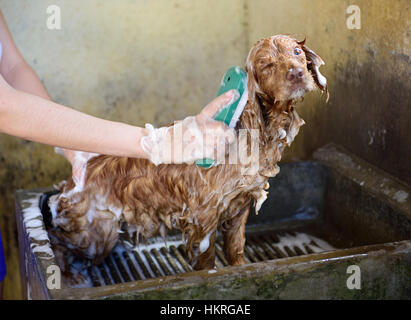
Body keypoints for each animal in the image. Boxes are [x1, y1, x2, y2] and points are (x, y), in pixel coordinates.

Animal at [48, 35, 328, 280]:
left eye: (297, 52)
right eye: (266, 65)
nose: (296, 74)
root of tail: (71, 182)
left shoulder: (240, 205)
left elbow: (235, 248)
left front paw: (239, 267)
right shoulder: (203, 214)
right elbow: (206, 258)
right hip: (96, 232)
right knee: (58, 240)